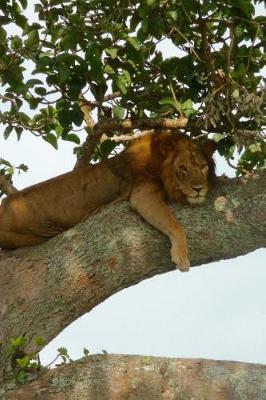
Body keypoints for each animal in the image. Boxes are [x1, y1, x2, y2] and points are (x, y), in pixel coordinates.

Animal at [0, 131, 216, 272]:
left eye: (203, 166)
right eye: (183, 168)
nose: (198, 189)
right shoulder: (142, 194)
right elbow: (174, 224)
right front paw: (181, 257)